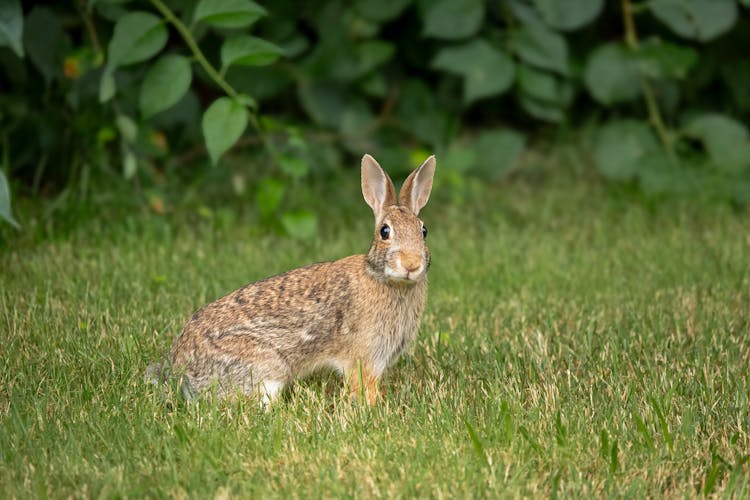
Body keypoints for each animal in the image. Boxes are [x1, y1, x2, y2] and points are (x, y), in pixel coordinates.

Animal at [151, 155, 438, 406]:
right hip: (269, 369)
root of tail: (180, 369)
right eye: (384, 231)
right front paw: (373, 408)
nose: (412, 264)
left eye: (424, 231)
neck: (383, 278)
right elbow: (363, 387)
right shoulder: (364, 358)